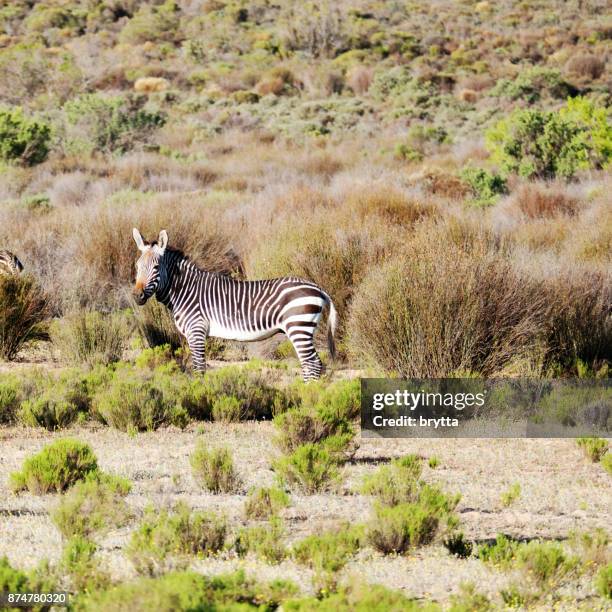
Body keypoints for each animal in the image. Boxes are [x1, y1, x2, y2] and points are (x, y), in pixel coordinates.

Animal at [131, 228, 338, 380]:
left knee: (313, 364)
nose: (137, 296)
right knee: (310, 365)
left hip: (299, 327)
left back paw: (307, 395)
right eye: (137, 266)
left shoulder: (196, 331)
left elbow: (199, 369)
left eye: (156, 267)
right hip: (301, 328)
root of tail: (318, 288)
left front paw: (200, 395)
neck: (185, 290)